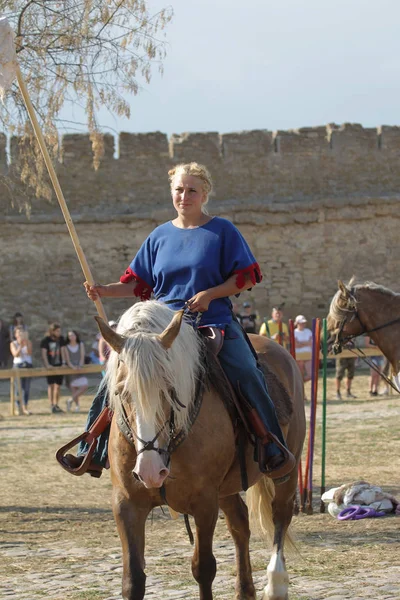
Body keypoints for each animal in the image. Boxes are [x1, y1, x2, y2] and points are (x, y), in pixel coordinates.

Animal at [97, 300, 306, 600]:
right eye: (122, 392)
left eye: (169, 389)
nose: (150, 471)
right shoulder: (126, 503)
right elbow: (133, 580)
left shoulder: (204, 502)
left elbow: (204, 568)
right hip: (227, 487)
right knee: (240, 523)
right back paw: (245, 590)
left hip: (287, 468)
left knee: (281, 514)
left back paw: (276, 583)